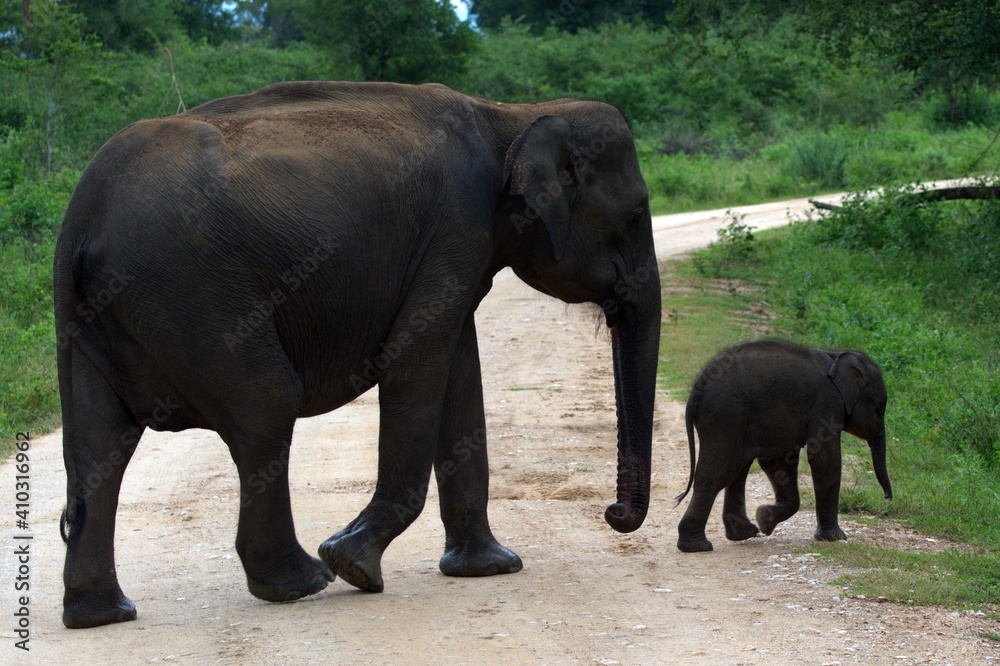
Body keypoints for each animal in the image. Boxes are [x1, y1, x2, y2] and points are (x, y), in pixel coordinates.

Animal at [56, 80, 664, 624]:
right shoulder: (456, 227)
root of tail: (80, 219)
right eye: (636, 216)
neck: (513, 114)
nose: (613, 512)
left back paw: (102, 615)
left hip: (108, 312)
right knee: (266, 405)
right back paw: (303, 582)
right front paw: (352, 565)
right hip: (192, 293)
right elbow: (414, 369)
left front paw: (489, 569)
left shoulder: (457, 248)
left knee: (100, 444)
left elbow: (459, 374)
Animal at [676, 338, 896, 548]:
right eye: (880, 405)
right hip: (725, 415)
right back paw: (697, 546)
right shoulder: (827, 404)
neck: (835, 355)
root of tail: (696, 390)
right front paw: (835, 538)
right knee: (718, 473)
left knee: (737, 468)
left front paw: (764, 518)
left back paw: (743, 534)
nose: (887, 498)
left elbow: (778, 462)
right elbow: (823, 459)